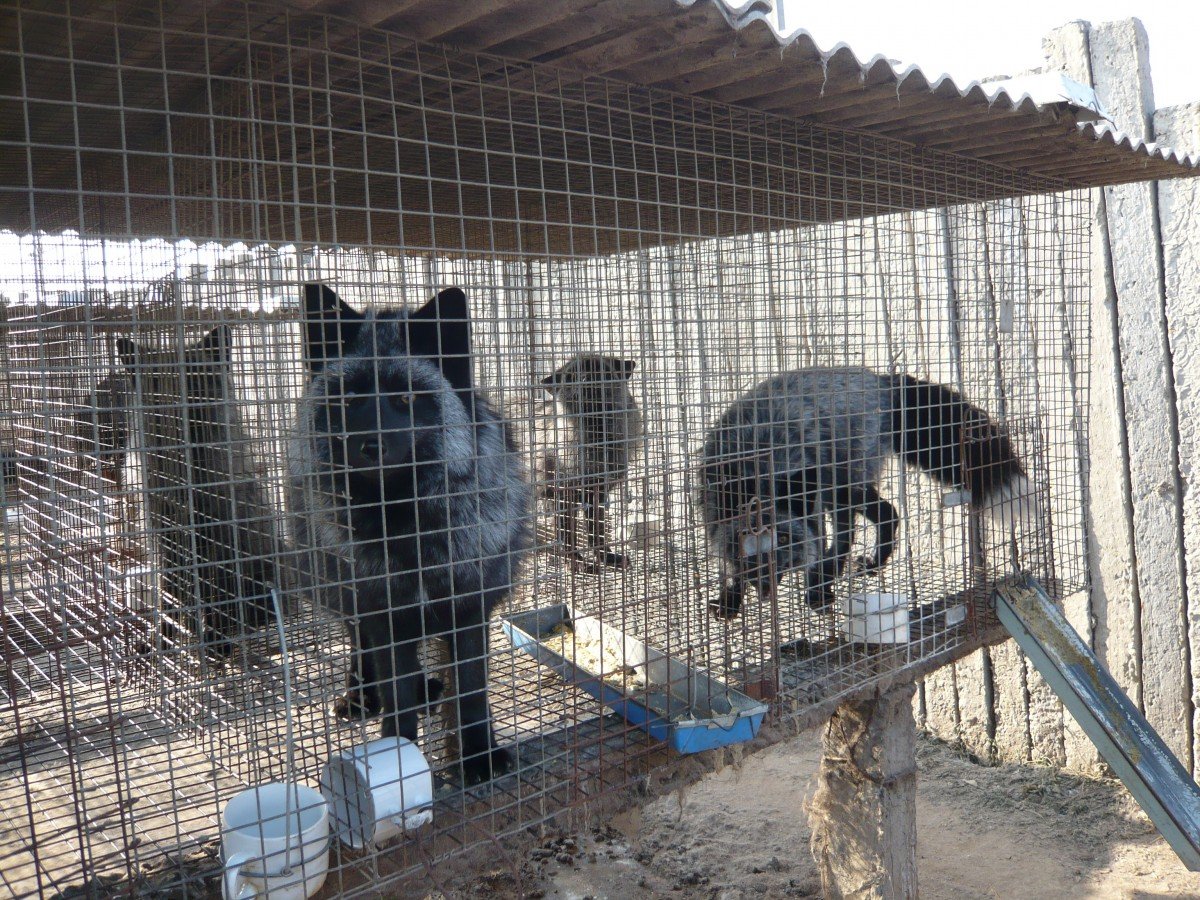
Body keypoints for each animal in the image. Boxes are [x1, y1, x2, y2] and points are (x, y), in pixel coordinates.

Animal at [119, 328, 283, 657]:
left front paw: (215, 639)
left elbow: (213, 598)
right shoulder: (164, 541)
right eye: (157, 382)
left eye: (196, 376)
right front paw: (162, 638)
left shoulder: (219, 539)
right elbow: (167, 597)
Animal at [540, 355, 643, 571]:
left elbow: (597, 532)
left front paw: (607, 557)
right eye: (571, 377)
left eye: (601, 370)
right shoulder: (563, 495)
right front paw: (575, 561)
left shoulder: (597, 494)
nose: (586, 379)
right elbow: (568, 535)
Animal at [700, 367, 1036, 619]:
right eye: (745, 537)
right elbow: (727, 565)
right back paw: (860, 565)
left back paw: (837, 573)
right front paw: (730, 599)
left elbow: (821, 543)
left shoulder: (813, 507)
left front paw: (816, 589)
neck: (757, 465)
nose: (766, 585)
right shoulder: (713, 515)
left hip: (842, 485)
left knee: (863, 524)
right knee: (879, 516)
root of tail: (883, 381)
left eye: (783, 538)